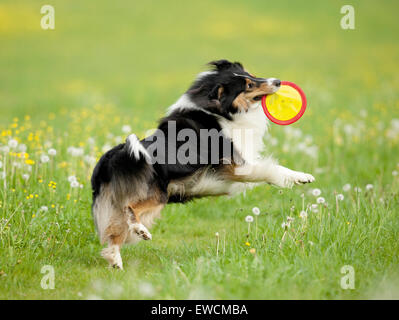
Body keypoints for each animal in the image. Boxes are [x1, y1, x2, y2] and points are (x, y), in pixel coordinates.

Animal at [90, 59, 316, 268]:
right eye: (248, 85)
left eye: (252, 75)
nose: (278, 82)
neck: (219, 110)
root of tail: (112, 157)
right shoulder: (238, 167)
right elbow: (273, 169)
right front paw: (302, 177)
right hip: (155, 194)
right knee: (129, 209)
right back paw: (140, 232)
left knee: (114, 232)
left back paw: (116, 261)